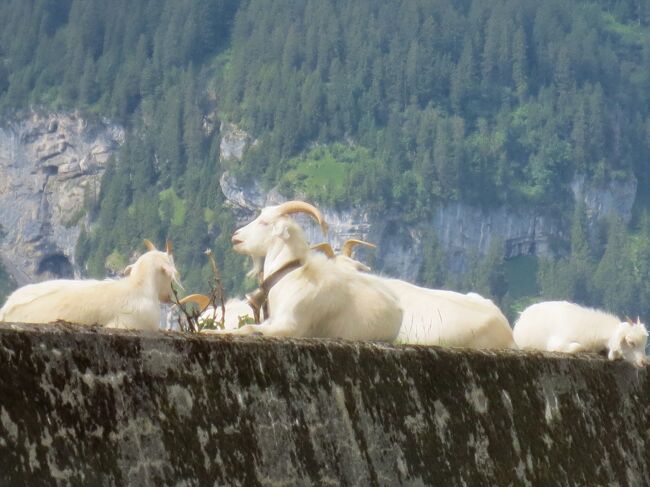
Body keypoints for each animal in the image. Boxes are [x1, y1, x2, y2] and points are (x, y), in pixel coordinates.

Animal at [215, 200, 402, 342]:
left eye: (264, 222)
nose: (236, 236)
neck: (290, 275)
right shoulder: (272, 321)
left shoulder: (290, 326)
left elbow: (247, 328)